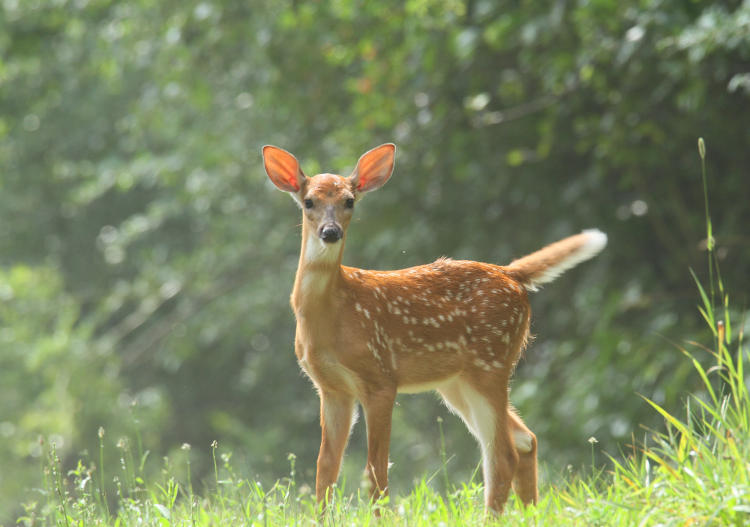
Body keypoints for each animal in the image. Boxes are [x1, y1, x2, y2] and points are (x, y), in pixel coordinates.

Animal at [262, 143, 608, 516]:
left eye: (349, 201)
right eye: (309, 201)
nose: (330, 232)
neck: (331, 315)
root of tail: (511, 273)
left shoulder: (380, 378)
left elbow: (375, 470)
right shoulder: (331, 388)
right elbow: (325, 468)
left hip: (491, 362)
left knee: (503, 453)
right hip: (456, 382)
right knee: (524, 440)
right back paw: (529, 513)